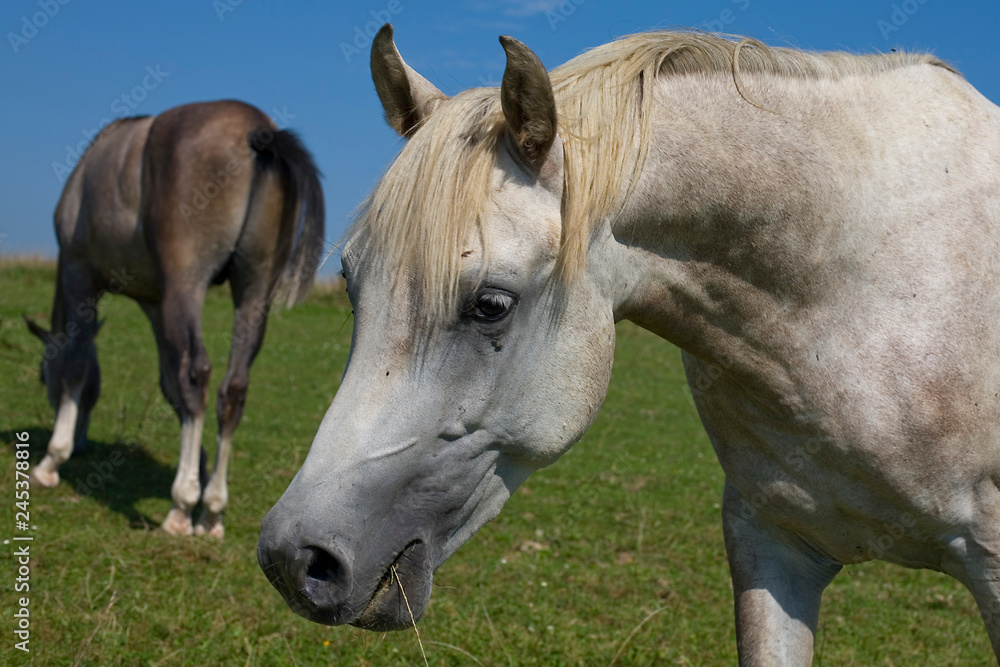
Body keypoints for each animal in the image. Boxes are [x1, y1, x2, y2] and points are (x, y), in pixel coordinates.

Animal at [25, 99, 324, 539]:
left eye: (43, 378)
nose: (80, 444)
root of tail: (258, 133)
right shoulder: (155, 302)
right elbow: (171, 385)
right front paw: (197, 462)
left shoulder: (81, 277)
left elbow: (78, 365)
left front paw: (53, 458)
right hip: (252, 292)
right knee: (232, 388)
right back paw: (211, 508)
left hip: (188, 284)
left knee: (197, 374)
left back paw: (182, 505)